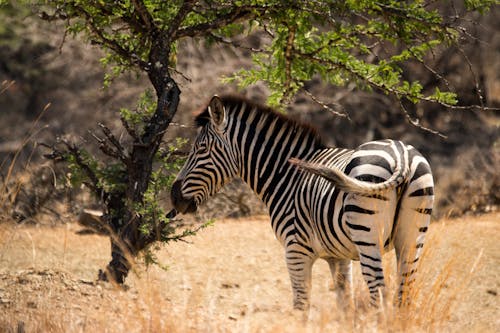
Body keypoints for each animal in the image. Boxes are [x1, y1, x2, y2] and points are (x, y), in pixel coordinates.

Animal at [172, 94, 434, 312]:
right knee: (404, 292)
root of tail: (401, 155)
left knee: (379, 290)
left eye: (201, 149)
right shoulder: (338, 255)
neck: (285, 174)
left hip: (367, 233)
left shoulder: (295, 249)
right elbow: (344, 304)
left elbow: (301, 306)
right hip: (413, 235)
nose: (174, 196)